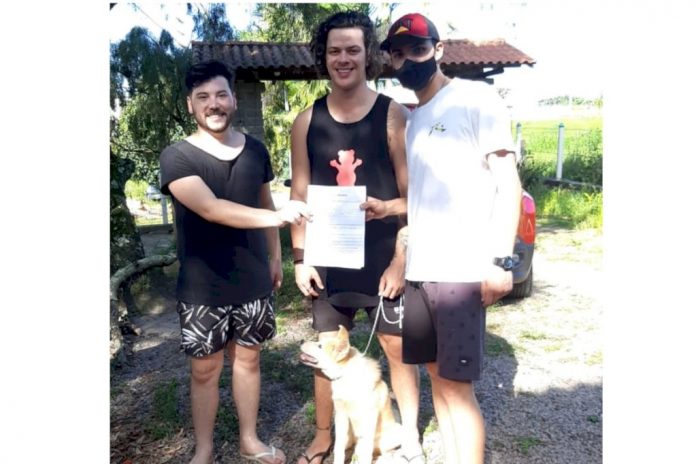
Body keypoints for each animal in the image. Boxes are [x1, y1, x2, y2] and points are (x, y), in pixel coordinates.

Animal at [300, 325, 402, 464]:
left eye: (320, 346)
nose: (301, 341)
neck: (346, 376)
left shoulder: (368, 420)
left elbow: (365, 453)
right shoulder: (341, 415)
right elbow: (339, 447)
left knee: (377, 450)